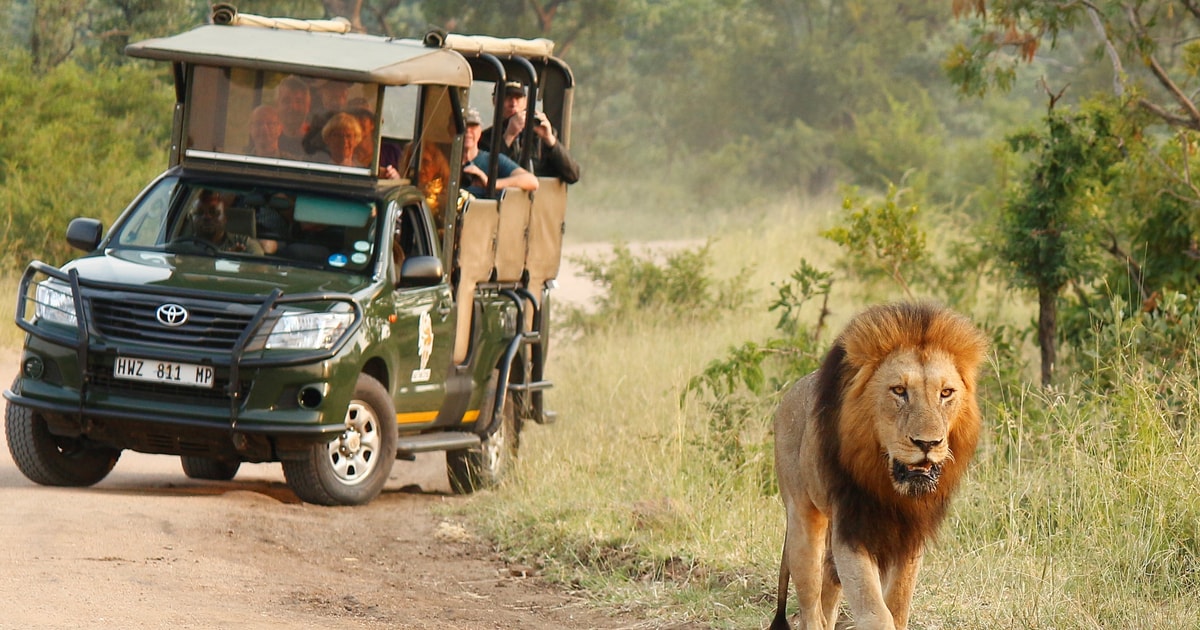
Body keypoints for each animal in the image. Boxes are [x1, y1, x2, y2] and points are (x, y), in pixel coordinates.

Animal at [772, 301, 988, 628]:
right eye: (899, 390)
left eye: (946, 393)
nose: (928, 443)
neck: (890, 487)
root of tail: (789, 394)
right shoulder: (852, 529)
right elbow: (876, 610)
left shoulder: (909, 537)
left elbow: (897, 605)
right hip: (802, 521)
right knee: (810, 604)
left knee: (828, 596)